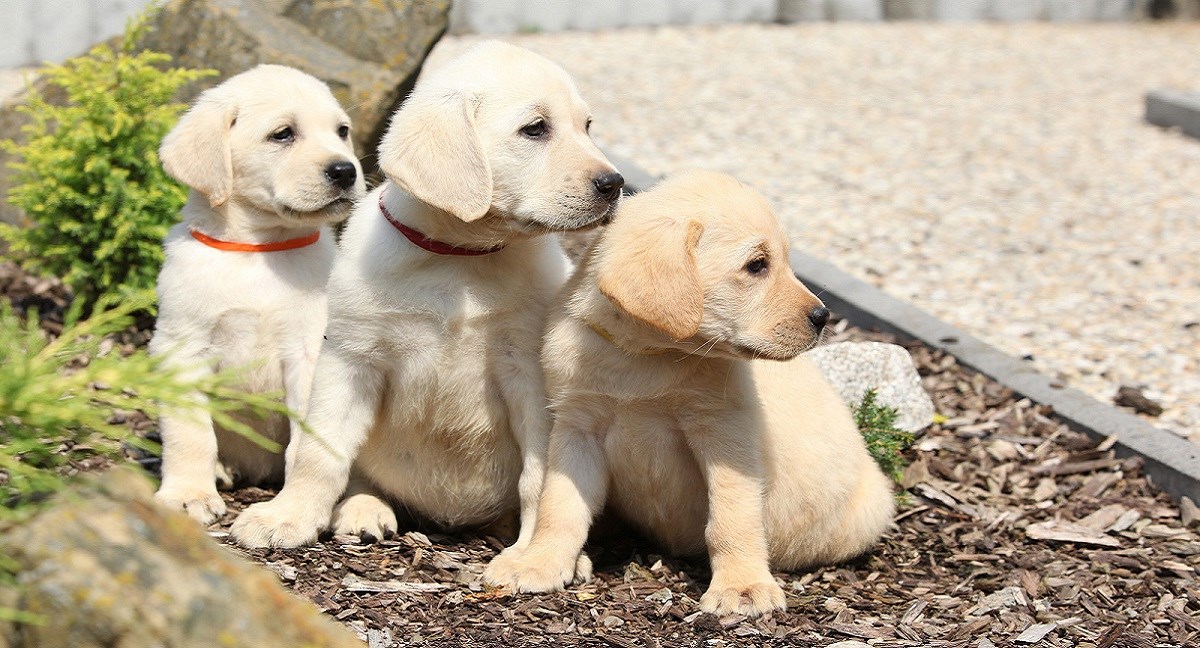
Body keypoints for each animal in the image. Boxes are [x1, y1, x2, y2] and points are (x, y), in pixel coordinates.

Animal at [152, 64, 364, 525]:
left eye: (342, 131)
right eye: (283, 134)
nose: (346, 171)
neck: (259, 249)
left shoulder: (308, 350)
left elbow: (305, 437)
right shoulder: (182, 346)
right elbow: (190, 433)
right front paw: (189, 494)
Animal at [232, 40, 628, 549]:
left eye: (588, 126)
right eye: (536, 128)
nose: (615, 184)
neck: (459, 258)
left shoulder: (530, 374)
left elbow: (539, 477)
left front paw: (532, 551)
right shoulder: (351, 359)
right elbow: (319, 452)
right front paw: (288, 516)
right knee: (360, 475)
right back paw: (363, 508)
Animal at [482, 171, 897, 619]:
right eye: (757, 265)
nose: (823, 317)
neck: (645, 357)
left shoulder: (724, 432)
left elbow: (731, 518)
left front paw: (742, 586)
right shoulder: (577, 427)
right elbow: (560, 505)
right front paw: (539, 561)